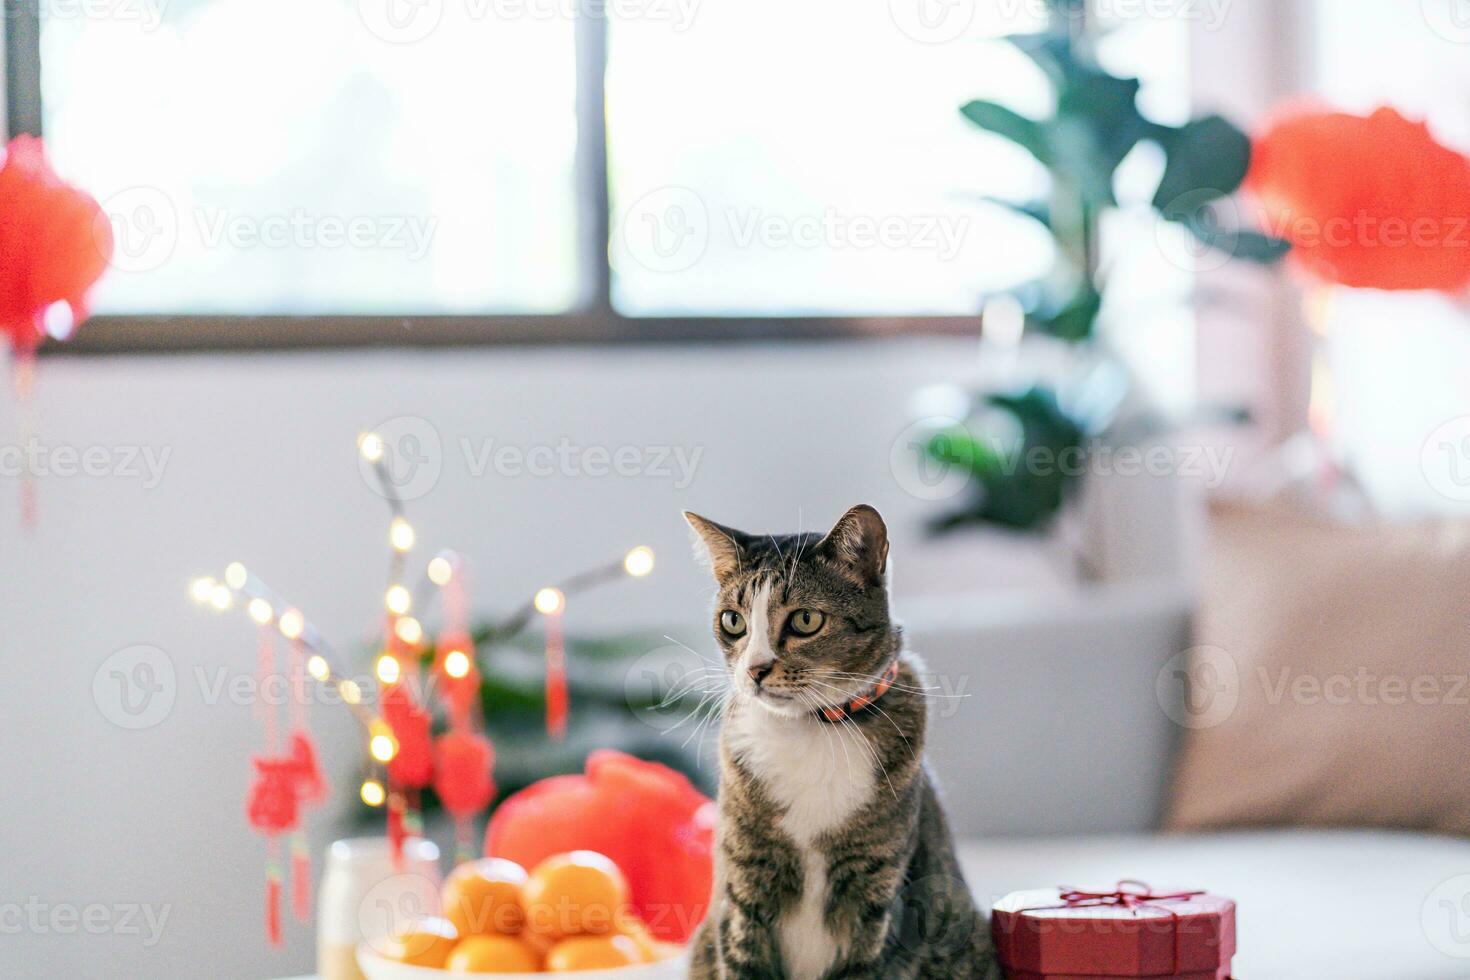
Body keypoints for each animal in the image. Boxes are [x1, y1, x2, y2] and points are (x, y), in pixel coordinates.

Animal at [682, 505, 1005, 980]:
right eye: (733, 621)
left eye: (805, 620)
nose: (754, 669)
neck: (813, 730)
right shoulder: (743, 886)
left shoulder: (876, 891)